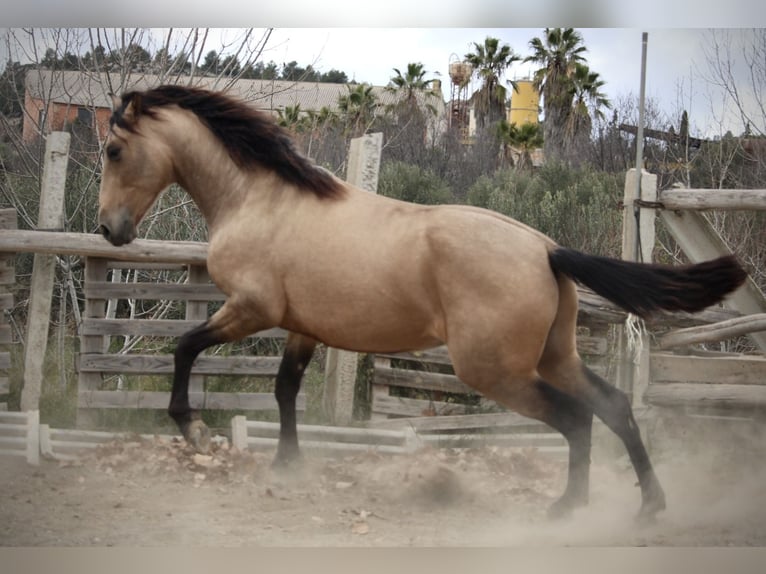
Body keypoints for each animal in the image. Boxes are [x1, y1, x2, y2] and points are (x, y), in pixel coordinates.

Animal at [97, 84, 752, 520]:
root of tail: (547, 249)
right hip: (554, 357)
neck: (258, 199)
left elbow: (185, 347)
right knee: (612, 408)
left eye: (112, 150)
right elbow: (285, 391)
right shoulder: (301, 326)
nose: (110, 230)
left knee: (575, 418)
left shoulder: (250, 309)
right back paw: (646, 505)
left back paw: (567, 507)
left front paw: (191, 428)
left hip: (494, 370)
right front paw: (289, 464)